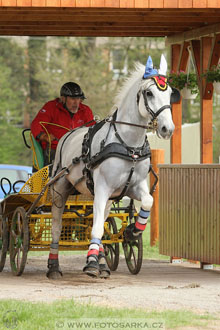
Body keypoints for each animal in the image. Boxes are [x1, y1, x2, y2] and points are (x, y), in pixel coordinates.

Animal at [46, 56, 179, 278]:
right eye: (149, 93)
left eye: (169, 93)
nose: (167, 129)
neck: (128, 144)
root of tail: (68, 133)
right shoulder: (102, 188)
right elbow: (97, 228)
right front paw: (91, 262)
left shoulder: (134, 187)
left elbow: (148, 202)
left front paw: (132, 231)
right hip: (60, 187)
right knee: (57, 225)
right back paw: (55, 265)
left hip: (108, 197)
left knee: (102, 220)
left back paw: (102, 261)